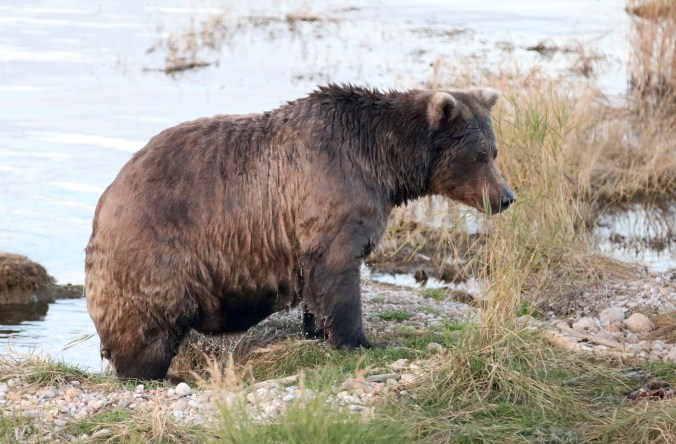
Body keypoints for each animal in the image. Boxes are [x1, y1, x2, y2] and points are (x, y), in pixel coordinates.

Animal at [85, 84, 516, 380]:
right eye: (481, 154)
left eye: (494, 150)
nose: (506, 196)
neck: (385, 161)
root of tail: (107, 198)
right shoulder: (333, 190)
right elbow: (338, 272)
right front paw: (360, 340)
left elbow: (316, 284)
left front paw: (316, 330)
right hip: (159, 252)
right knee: (148, 325)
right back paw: (151, 372)